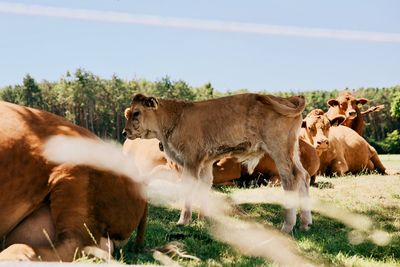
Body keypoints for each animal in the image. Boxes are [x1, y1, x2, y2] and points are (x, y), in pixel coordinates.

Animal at [122, 93, 312, 233]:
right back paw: (306, 223)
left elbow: (189, 189)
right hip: (292, 151)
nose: (125, 131)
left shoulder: (191, 161)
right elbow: (204, 186)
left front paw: (183, 221)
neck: (176, 117)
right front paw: (202, 219)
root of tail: (287, 98)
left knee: (291, 178)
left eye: (137, 112)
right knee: (304, 176)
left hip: (279, 150)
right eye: (128, 113)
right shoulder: (206, 163)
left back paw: (287, 226)